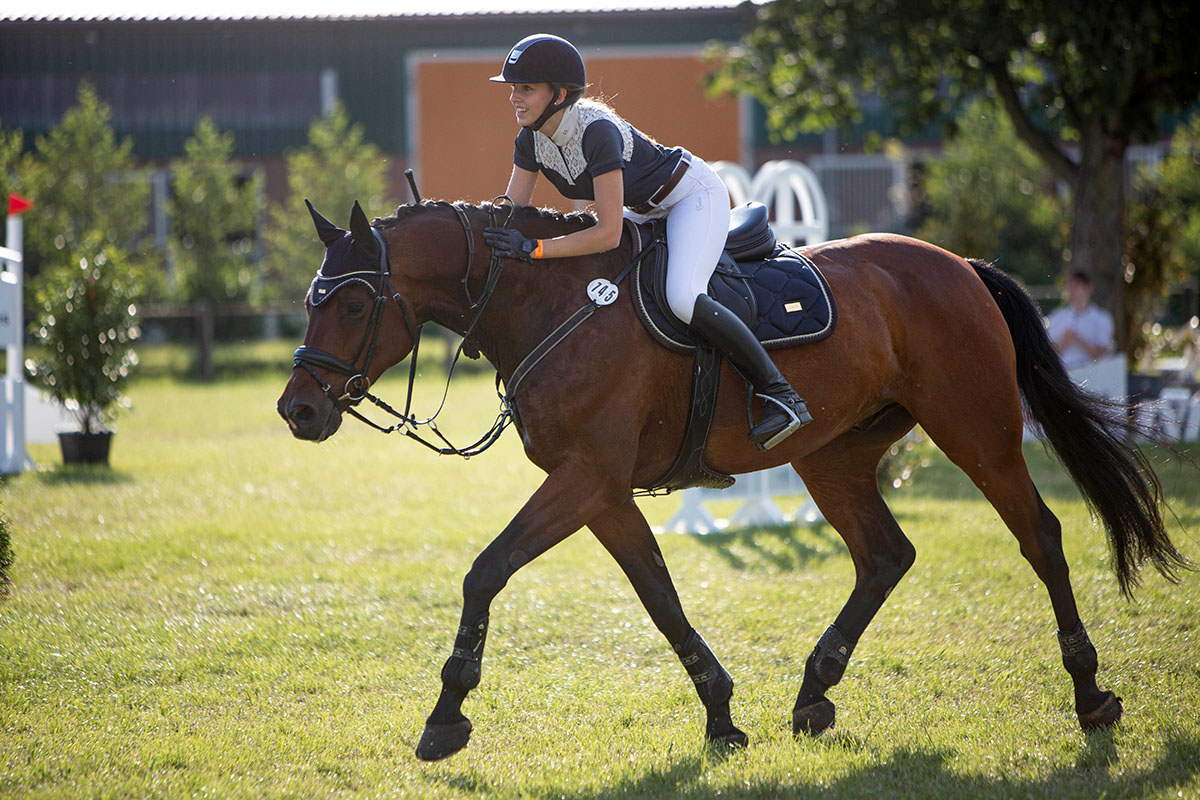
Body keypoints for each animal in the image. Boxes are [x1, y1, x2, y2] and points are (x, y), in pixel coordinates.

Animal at [276, 196, 1185, 762]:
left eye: (351, 305)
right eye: (313, 299)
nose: (297, 411)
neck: (555, 304)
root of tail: (959, 264)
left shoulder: (582, 480)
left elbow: (485, 571)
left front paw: (445, 716)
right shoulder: (600, 491)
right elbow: (660, 598)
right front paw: (720, 715)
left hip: (976, 431)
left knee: (1040, 537)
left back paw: (1090, 693)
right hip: (832, 453)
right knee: (884, 555)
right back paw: (814, 693)